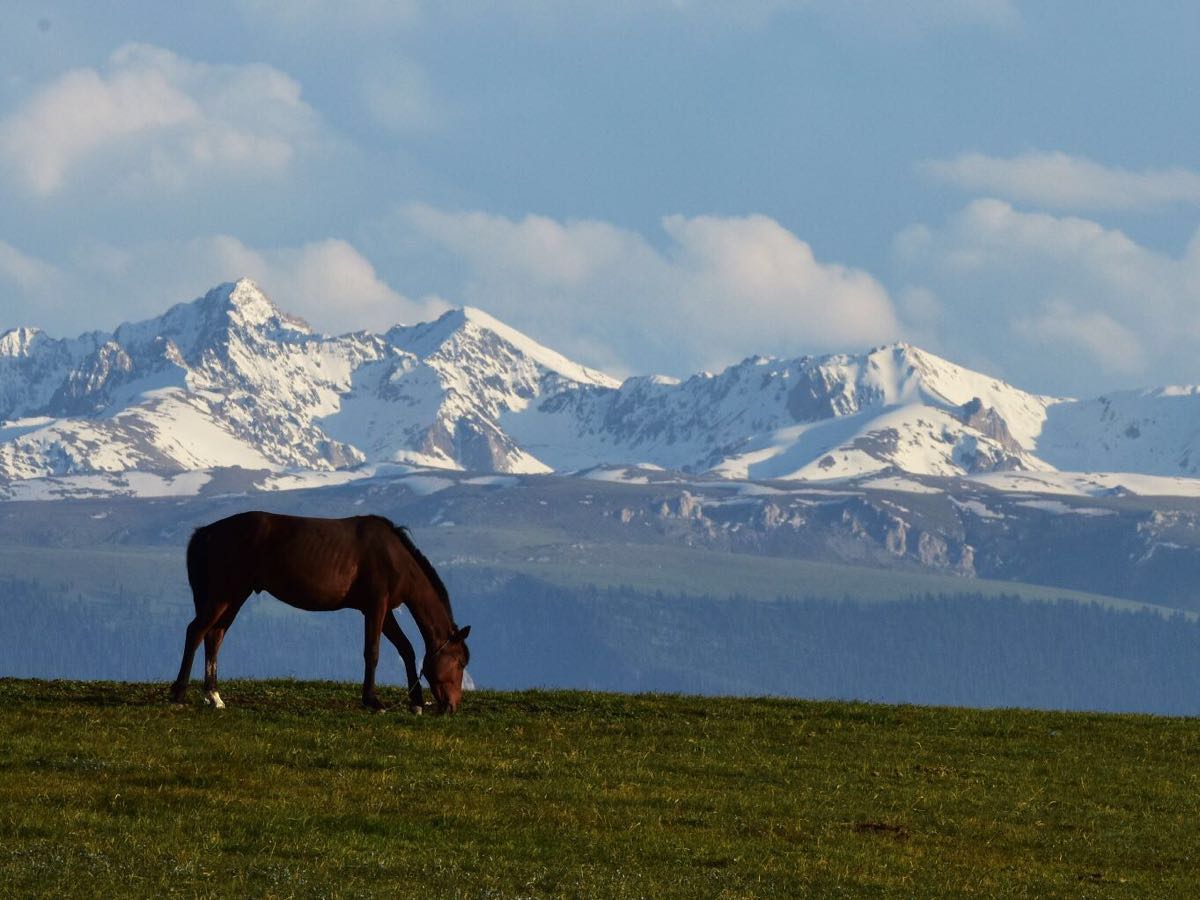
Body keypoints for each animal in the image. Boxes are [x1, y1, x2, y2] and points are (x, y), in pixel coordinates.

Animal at [171, 511, 470, 715]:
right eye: (459, 661)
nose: (452, 706)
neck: (394, 557)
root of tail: (208, 532)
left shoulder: (383, 611)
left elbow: (406, 649)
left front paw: (416, 702)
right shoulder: (376, 607)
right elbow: (372, 652)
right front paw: (372, 700)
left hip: (234, 596)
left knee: (215, 635)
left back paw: (214, 696)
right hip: (224, 594)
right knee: (196, 632)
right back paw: (180, 693)